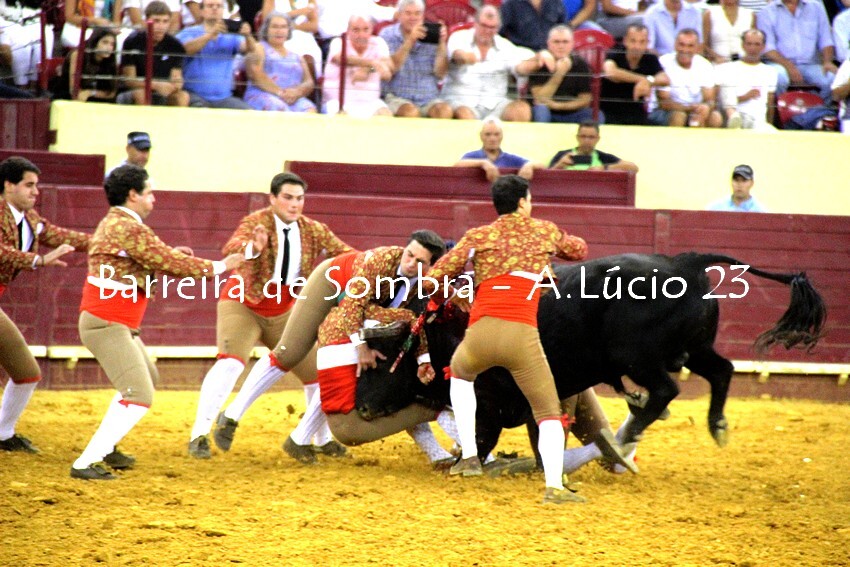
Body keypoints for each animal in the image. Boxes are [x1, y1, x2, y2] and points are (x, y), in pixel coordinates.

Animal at [357, 252, 826, 462]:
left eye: (379, 362)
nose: (360, 408)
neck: (442, 329)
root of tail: (684, 261)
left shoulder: (491, 395)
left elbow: (484, 433)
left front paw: (465, 462)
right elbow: (536, 431)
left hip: (637, 357)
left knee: (666, 390)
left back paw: (625, 435)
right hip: (693, 349)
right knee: (723, 370)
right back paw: (717, 426)